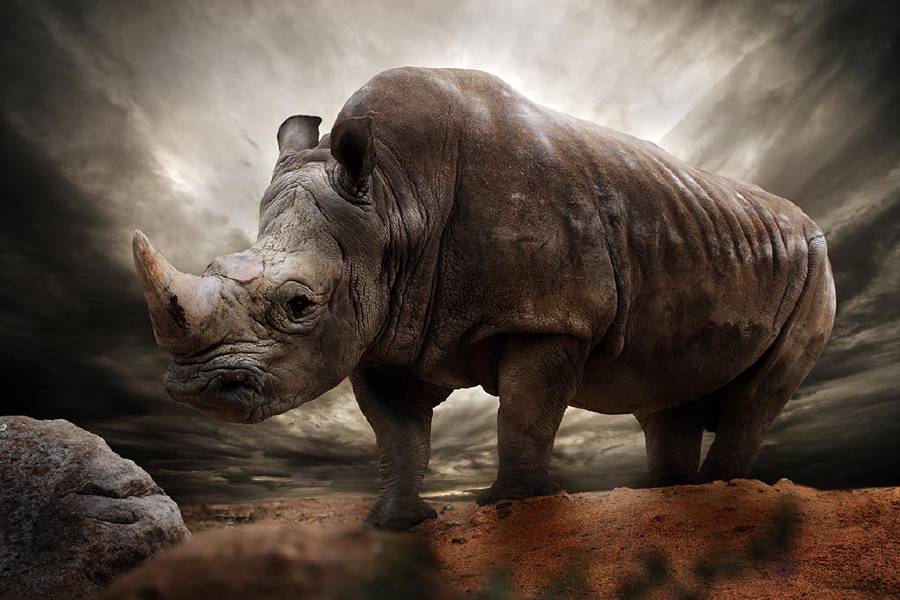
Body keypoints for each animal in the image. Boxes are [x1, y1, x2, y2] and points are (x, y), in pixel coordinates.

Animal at [133, 67, 835, 531]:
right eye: (212, 268)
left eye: (299, 305)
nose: (196, 389)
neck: (394, 200)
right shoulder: (383, 328)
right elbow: (399, 436)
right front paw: (394, 522)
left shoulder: (553, 316)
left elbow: (524, 413)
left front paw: (512, 507)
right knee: (666, 392)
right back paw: (670, 494)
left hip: (816, 265)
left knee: (755, 397)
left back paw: (722, 492)